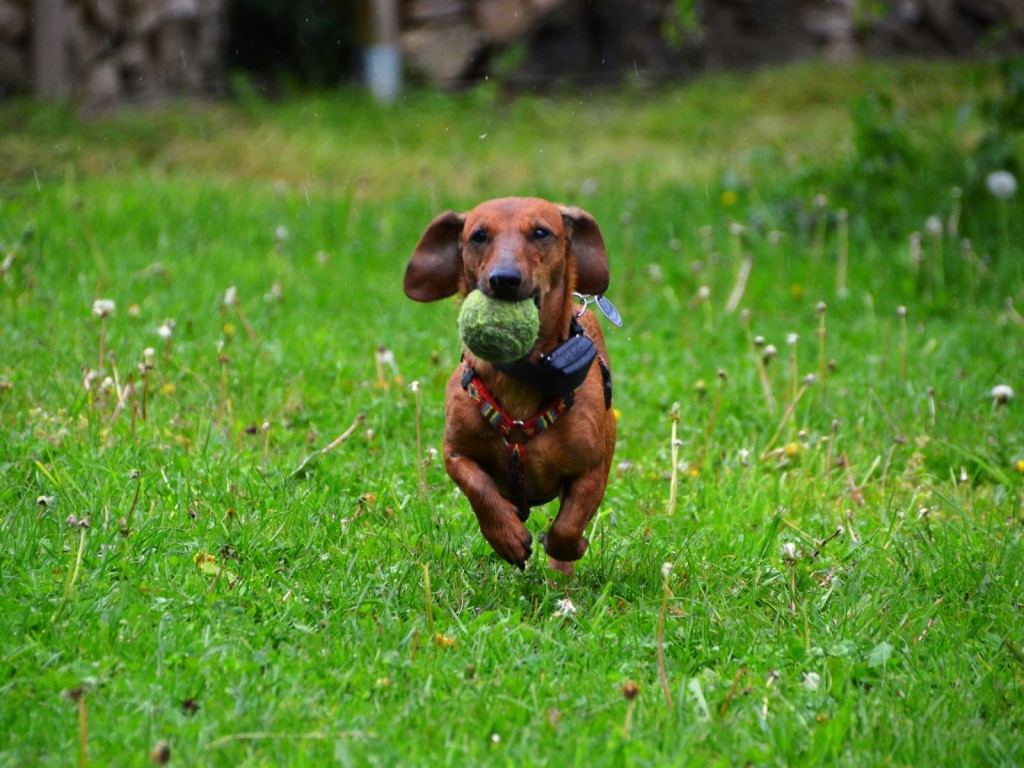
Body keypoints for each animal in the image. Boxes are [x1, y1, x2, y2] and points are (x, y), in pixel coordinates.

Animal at [405, 195, 614, 573]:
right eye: (478, 236)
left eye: (541, 233)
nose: (504, 279)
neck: (522, 375)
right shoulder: (455, 452)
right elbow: (480, 490)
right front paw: (507, 537)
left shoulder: (592, 470)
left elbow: (567, 526)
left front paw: (570, 547)